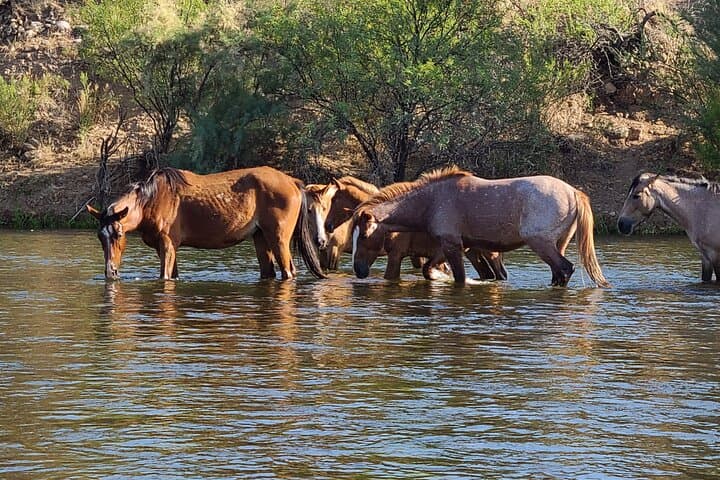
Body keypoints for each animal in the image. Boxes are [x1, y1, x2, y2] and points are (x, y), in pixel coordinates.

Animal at [86, 166, 326, 281]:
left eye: (118, 234)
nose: (110, 272)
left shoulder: (167, 244)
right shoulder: (167, 248)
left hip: (278, 239)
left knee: (289, 272)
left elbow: (164, 277)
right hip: (260, 237)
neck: (152, 200)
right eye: (100, 237)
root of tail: (292, 182)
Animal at [352, 166, 609, 287]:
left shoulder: (452, 245)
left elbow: (458, 277)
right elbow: (428, 269)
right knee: (558, 273)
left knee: (564, 269)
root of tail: (573, 192)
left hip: (541, 243)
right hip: (558, 243)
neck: (432, 200)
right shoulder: (457, 245)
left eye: (363, 235)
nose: (359, 270)